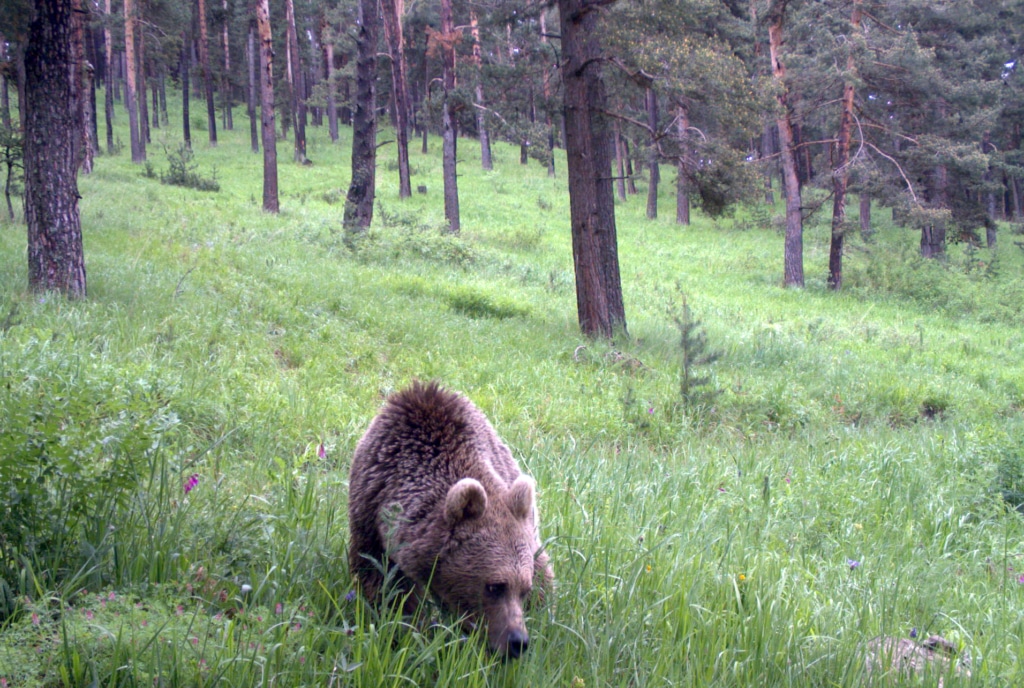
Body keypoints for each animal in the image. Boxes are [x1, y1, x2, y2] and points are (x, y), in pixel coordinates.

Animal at [348, 380, 552, 655]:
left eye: (523, 590)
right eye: (494, 586)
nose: (517, 641)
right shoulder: (370, 508)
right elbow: (382, 582)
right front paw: (406, 626)